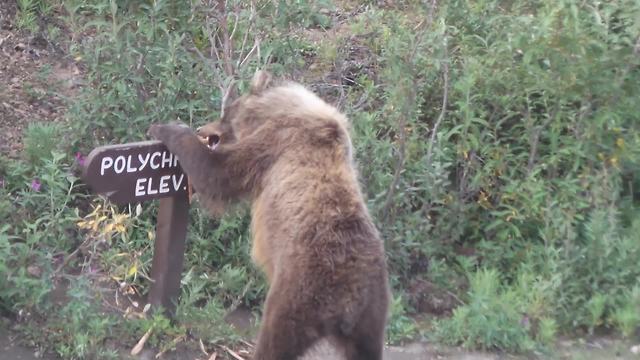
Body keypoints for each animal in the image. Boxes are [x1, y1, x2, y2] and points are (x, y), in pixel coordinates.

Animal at [149, 71, 390, 360]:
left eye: (226, 113)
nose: (202, 130)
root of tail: (350, 298)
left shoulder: (274, 144)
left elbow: (220, 173)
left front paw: (168, 129)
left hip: (297, 292)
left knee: (275, 340)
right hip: (373, 313)